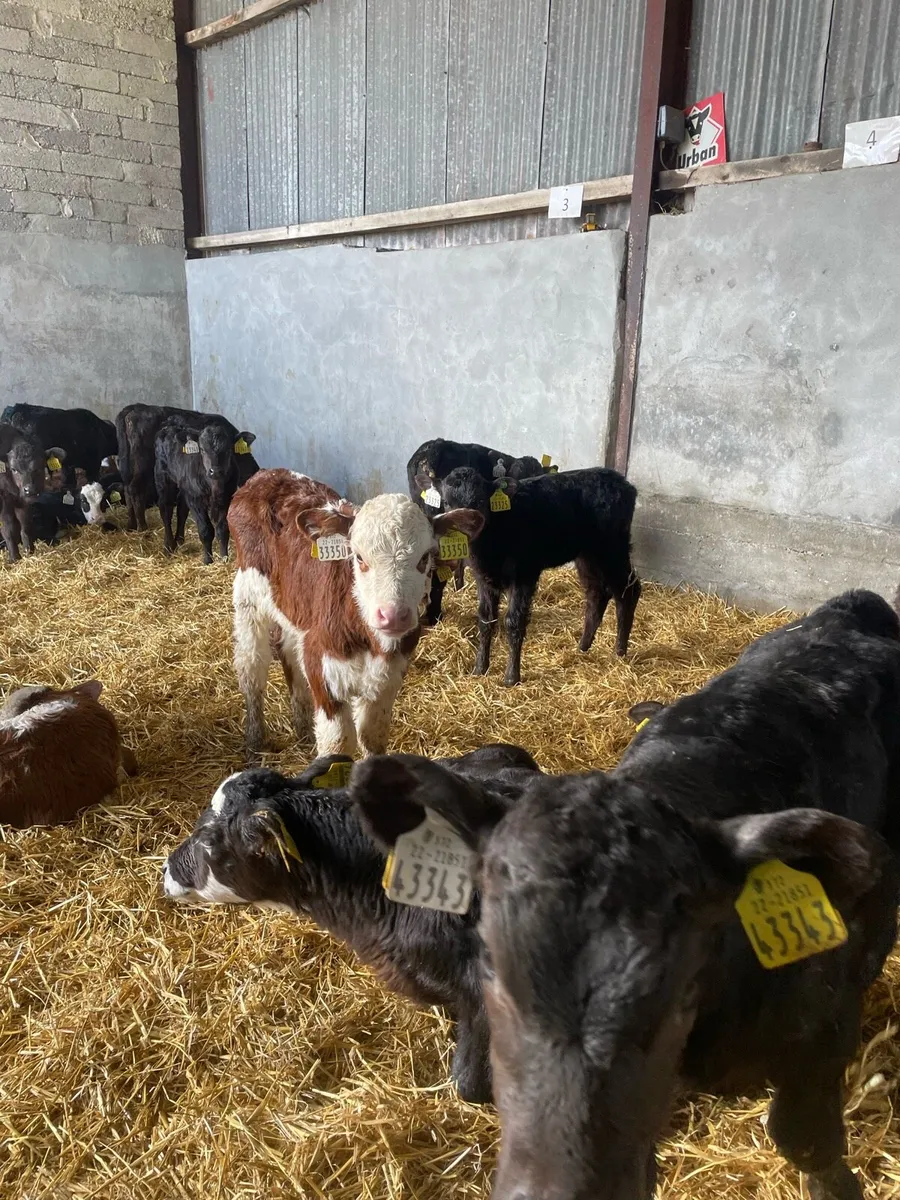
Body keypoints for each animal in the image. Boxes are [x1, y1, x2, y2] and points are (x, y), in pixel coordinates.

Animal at [154, 417, 257, 564]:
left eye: (228, 450)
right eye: (202, 449)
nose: (216, 471)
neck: (214, 486)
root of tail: (169, 427)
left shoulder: (226, 498)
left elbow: (223, 529)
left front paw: (224, 557)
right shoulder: (196, 500)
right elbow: (206, 530)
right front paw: (208, 560)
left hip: (185, 488)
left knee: (182, 510)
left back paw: (179, 540)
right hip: (163, 478)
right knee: (165, 509)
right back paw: (169, 546)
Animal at [228, 469, 484, 760]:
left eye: (424, 558)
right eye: (359, 557)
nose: (393, 615)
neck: (369, 640)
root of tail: (266, 475)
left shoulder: (390, 675)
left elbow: (373, 736)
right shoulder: (320, 661)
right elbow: (337, 743)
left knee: (288, 653)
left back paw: (303, 729)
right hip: (248, 599)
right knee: (251, 668)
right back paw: (255, 742)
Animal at [438, 464, 641, 685]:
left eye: (480, 501)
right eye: (447, 503)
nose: (466, 530)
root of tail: (622, 482)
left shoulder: (525, 574)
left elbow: (513, 621)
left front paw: (511, 677)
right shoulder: (484, 579)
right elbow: (485, 620)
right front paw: (480, 668)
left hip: (612, 550)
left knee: (628, 591)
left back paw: (619, 651)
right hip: (587, 555)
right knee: (597, 594)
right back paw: (583, 647)